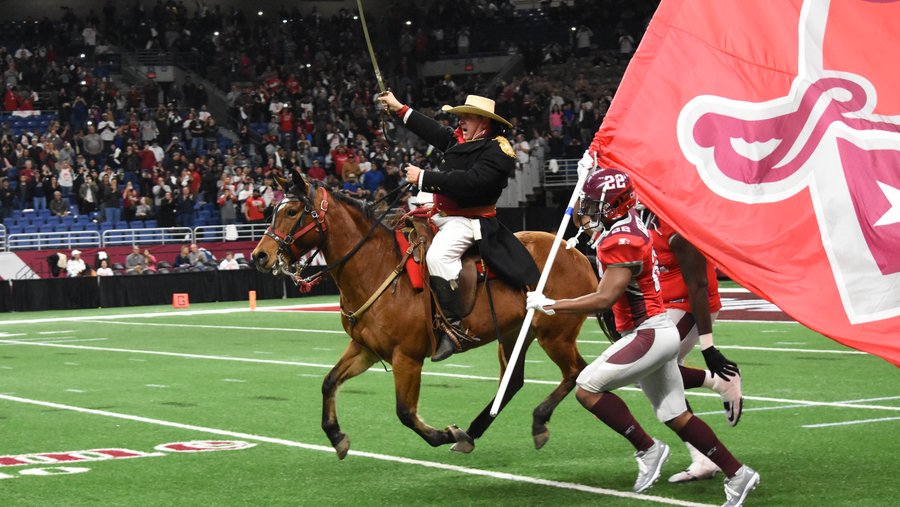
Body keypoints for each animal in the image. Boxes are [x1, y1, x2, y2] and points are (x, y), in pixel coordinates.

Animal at [251, 172, 596, 460]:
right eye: (274, 210)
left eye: (292, 212)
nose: (259, 255)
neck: (375, 267)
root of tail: (577, 254)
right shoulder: (365, 349)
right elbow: (329, 382)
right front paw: (336, 436)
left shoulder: (407, 357)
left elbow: (405, 412)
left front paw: (446, 433)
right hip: (513, 335)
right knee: (513, 382)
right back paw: (474, 432)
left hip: (555, 335)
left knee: (575, 371)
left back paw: (535, 421)